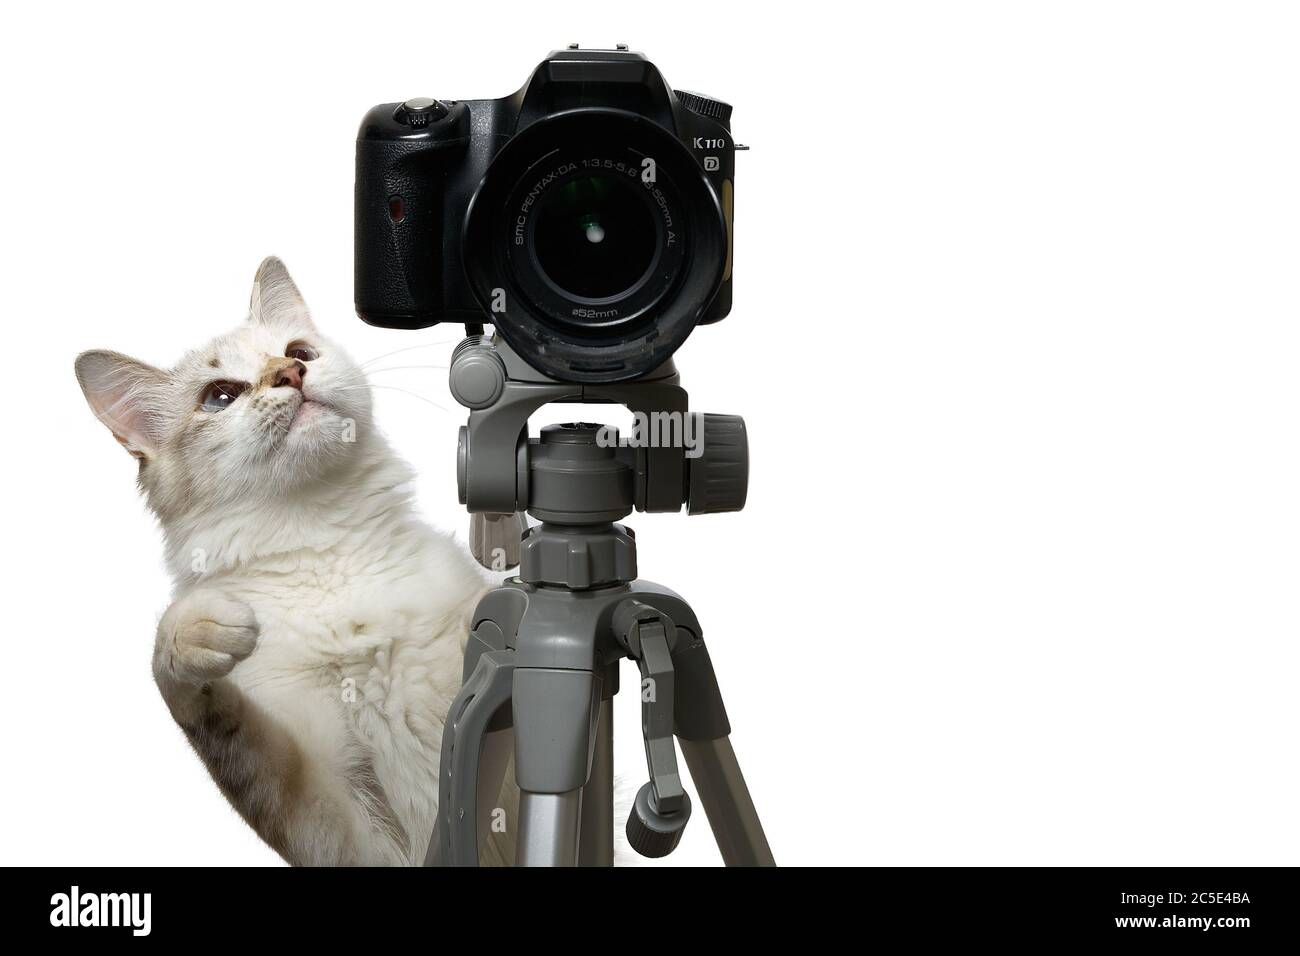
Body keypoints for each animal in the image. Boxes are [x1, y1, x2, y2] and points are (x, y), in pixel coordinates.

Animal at [71, 260, 506, 868]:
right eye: (219, 396)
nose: (290, 372)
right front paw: (200, 632)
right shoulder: (342, 838)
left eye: (300, 351)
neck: (326, 549)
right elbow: (212, 716)